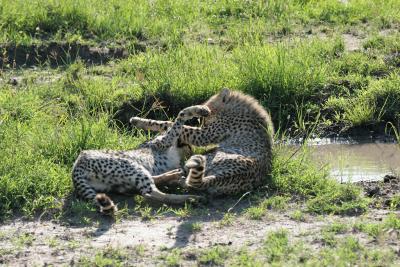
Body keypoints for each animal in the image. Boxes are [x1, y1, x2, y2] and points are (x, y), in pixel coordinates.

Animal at [72, 105, 211, 215]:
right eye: (189, 146)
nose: (192, 152)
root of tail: (76, 166)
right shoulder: (166, 141)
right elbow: (179, 118)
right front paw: (199, 109)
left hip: (119, 181)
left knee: (140, 187)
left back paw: (175, 176)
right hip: (131, 165)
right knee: (149, 193)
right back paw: (192, 198)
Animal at [131, 89, 276, 196]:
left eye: (206, 117)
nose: (202, 122)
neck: (236, 109)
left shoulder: (203, 135)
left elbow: (170, 123)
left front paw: (138, 121)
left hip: (203, 158)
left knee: (187, 178)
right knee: (188, 183)